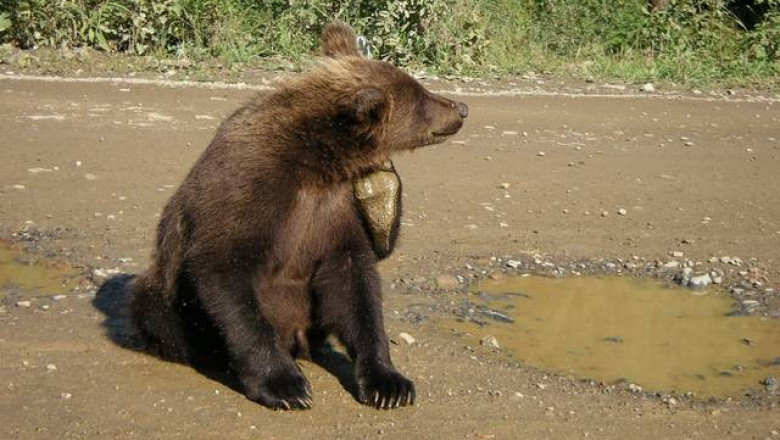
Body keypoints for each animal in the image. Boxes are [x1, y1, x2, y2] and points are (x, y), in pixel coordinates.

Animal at [129, 21, 468, 411]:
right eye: (421, 97)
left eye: (418, 87)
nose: (461, 107)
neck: (317, 160)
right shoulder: (249, 189)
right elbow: (223, 269)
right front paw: (285, 385)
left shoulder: (334, 211)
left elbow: (357, 285)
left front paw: (389, 384)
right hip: (164, 293)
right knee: (153, 308)